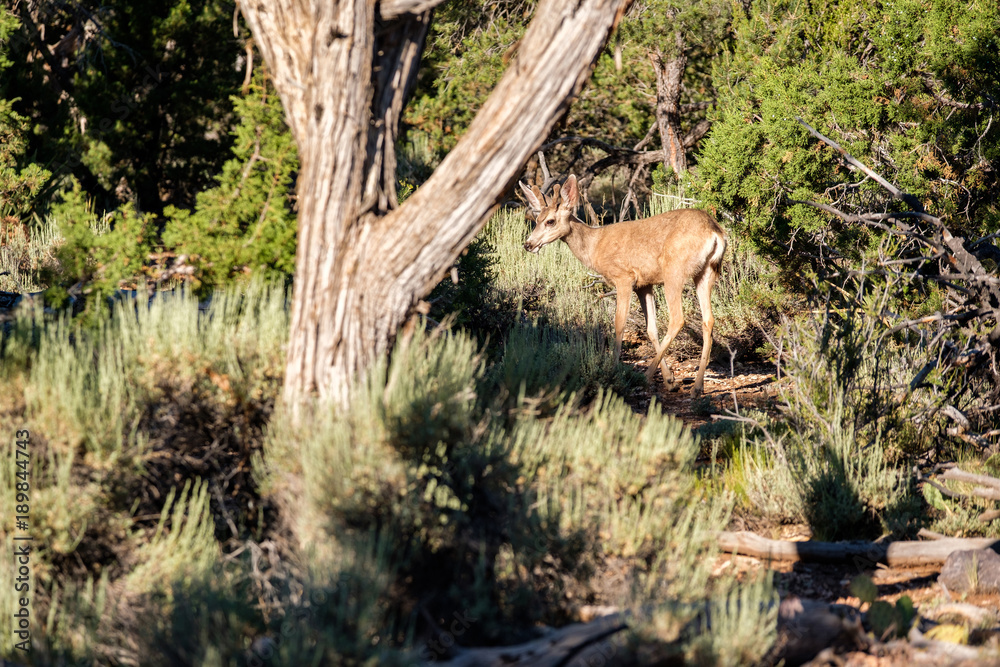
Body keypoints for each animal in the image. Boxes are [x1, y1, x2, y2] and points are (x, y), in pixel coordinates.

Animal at [520, 174, 726, 396]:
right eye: (536, 220)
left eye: (550, 221)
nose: (528, 244)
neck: (594, 247)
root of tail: (715, 233)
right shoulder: (644, 285)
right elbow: (651, 329)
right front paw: (670, 380)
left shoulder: (624, 277)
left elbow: (619, 324)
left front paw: (612, 369)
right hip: (706, 272)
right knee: (708, 319)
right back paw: (696, 386)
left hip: (674, 271)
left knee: (678, 318)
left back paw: (645, 376)